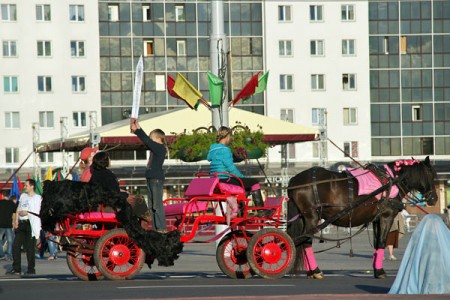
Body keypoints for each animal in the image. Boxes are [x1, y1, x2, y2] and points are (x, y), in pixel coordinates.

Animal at [286, 157, 438, 278]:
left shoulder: (377, 219)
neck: (391, 181)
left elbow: (377, 243)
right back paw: (315, 271)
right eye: (430, 175)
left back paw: (310, 272)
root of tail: (294, 180)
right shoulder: (386, 216)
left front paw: (376, 269)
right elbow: (382, 242)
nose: (434, 199)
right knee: (306, 241)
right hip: (312, 217)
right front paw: (380, 272)